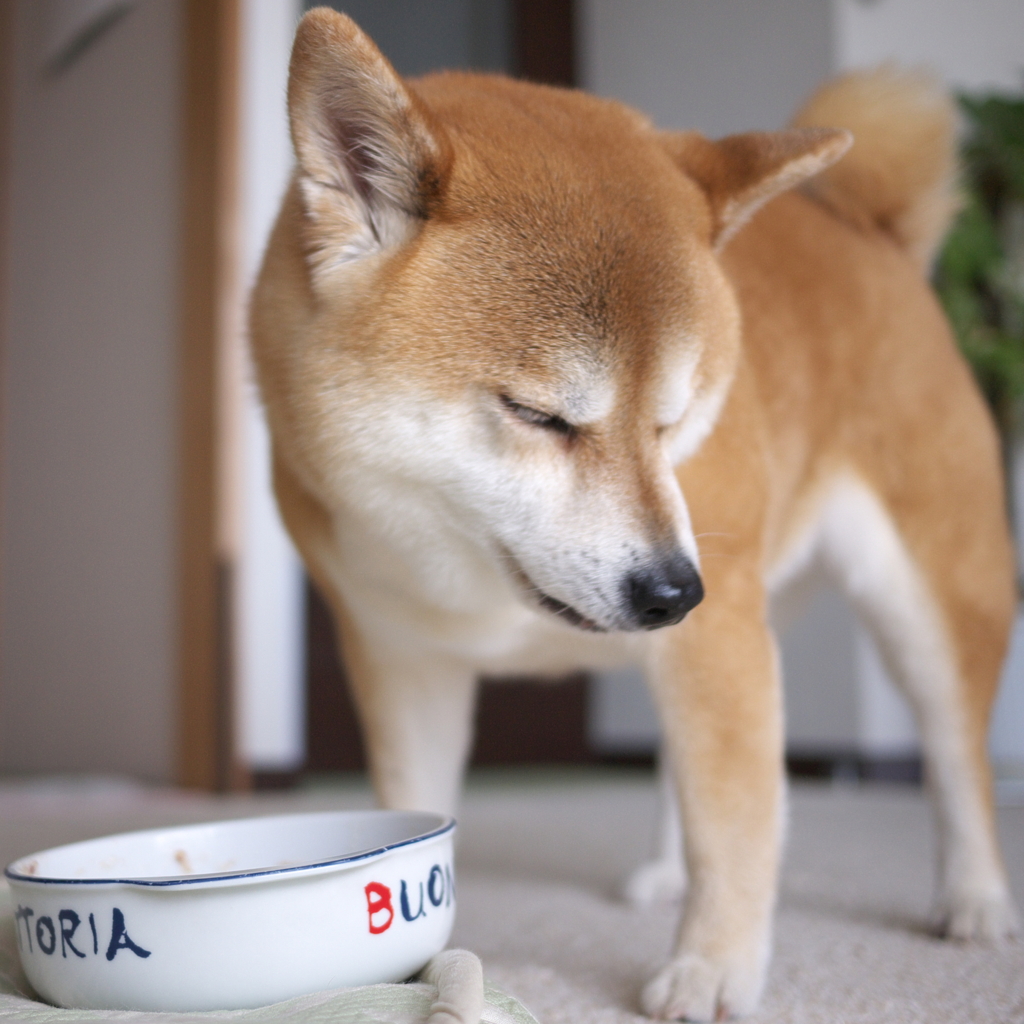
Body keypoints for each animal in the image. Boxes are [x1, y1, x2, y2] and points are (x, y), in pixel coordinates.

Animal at [251, 9, 1019, 1024]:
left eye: (676, 419)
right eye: (540, 415)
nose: (672, 590)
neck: (472, 579)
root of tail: (869, 229)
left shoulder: (720, 629)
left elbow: (736, 821)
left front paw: (714, 969)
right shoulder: (403, 659)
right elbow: (418, 806)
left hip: (924, 595)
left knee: (954, 754)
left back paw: (974, 896)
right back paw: (663, 869)